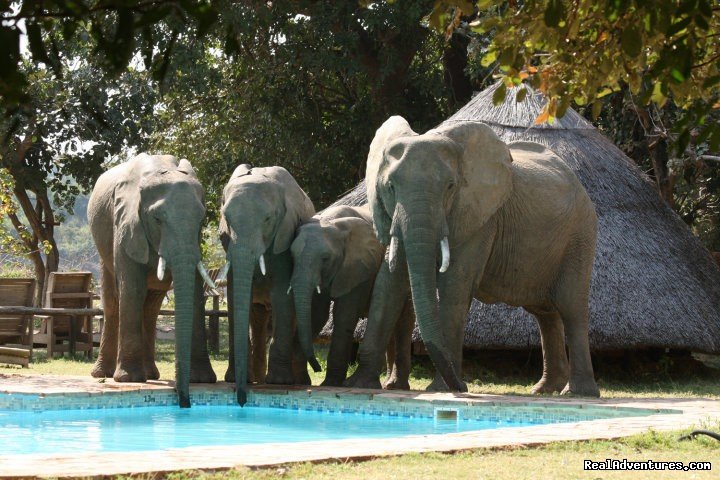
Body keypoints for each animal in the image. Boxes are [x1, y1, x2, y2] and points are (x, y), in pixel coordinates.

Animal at [89, 155, 217, 408]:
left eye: (201, 220)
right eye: (157, 220)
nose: (184, 400)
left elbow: (195, 292)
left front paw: (202, 379)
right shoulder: (125, 223)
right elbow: (132, 289)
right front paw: (128, 380)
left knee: (151, 307)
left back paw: (151, 375)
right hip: (103, 247)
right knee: (113, 300)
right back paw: (103, 374)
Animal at [215, 163, 314, 404]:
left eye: (268, 219)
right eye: (226, 219)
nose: (241, 399)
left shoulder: (285, 237)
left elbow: (281, 296)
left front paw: (279, 382)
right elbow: (236, 297)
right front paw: (235, 379)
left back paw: (295, 381)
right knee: (258, 318)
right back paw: (258, 379)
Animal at [286, 202, 410, 386]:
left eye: (325, 259)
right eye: (292, 257)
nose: (317, 368)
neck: (331, 222)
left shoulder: (360, 267)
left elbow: (344, 315)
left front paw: (330, 384)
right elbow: (317, 314)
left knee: (403, 321)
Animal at [346, 116, 600, 398]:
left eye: (450, 187)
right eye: (390, 187)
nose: (464, 385)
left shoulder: (480, 218)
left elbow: (455, 286)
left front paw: (442, 389)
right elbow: (388, 285)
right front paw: (359, 384)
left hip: (580, 233)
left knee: (570, 306)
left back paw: (578, 393)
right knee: (544, 311)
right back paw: (544, 390)